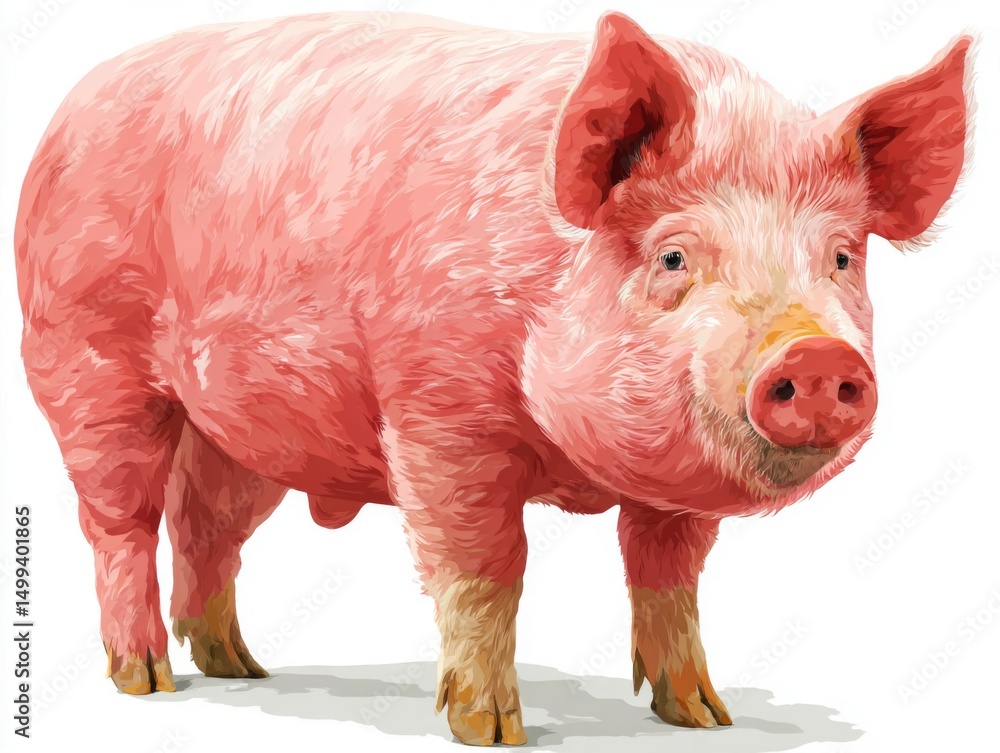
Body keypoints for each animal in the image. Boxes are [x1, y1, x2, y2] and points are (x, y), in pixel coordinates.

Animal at [15, 10, 970, 745]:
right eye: (673, 256)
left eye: (841, 257)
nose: (815, 357)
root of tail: (66, 111)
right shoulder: (437, 412)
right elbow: (487, 567)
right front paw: (492, 731)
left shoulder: (671, 489)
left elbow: (668, 575)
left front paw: (705, 717)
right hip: (82, 356)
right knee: (121, 518)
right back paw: (145, 679)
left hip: (240, 432)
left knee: (206, 526)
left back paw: (241, 668)